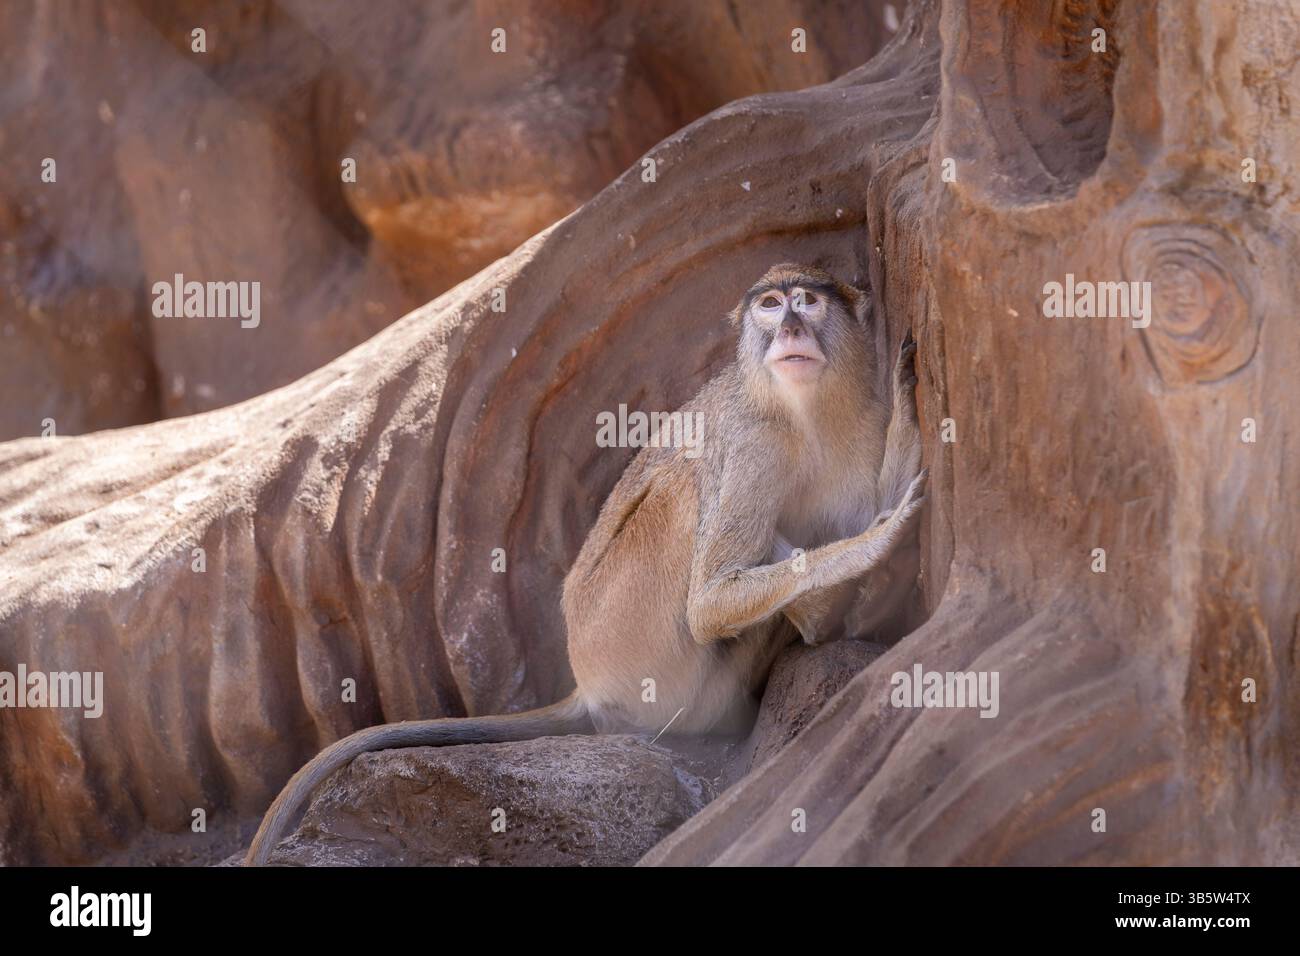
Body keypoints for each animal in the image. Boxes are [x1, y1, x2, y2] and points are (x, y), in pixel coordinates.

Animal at [245, 263, 925, 865]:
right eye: (769, 304)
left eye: (806, 301)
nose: (789, 328)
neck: (802, 410)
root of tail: (588, 679)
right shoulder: (755, 446)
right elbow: (709, 601)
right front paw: (876, 541)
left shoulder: (860, 422)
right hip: (634, 643)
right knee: (683, 486)